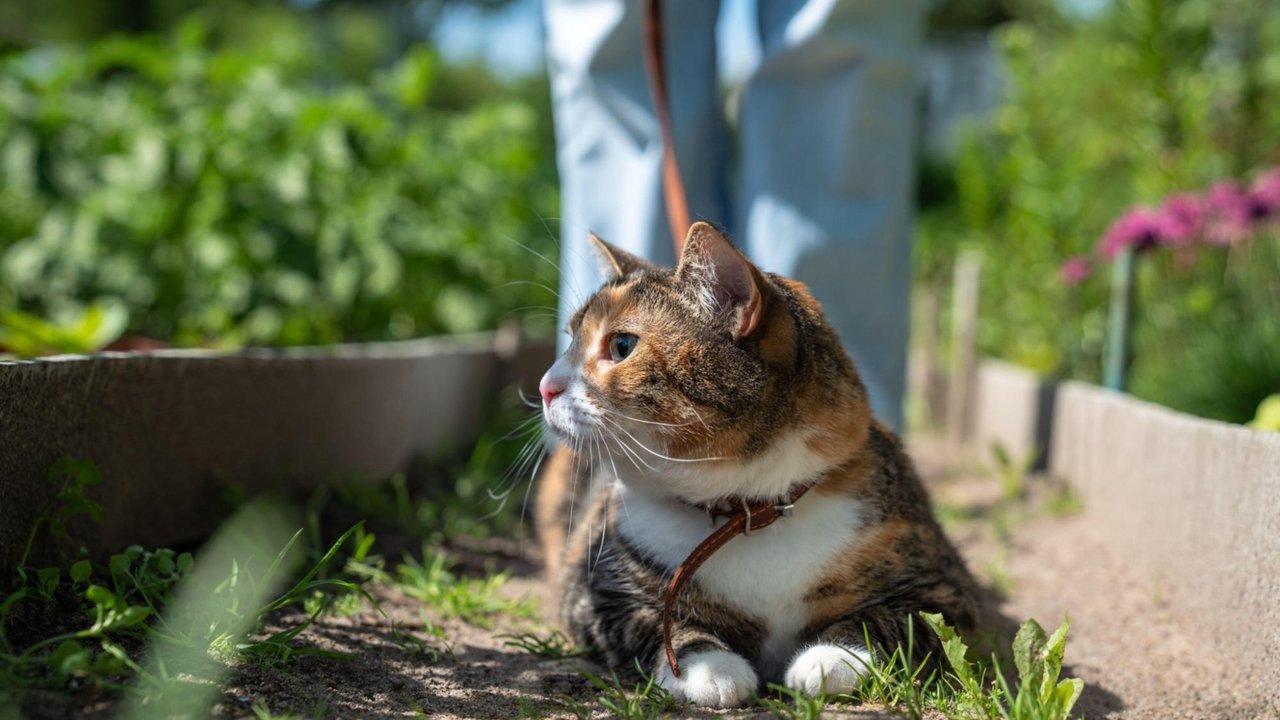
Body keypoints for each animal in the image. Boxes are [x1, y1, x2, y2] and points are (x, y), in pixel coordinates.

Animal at [535, 224, 972, 707]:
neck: (749, 510)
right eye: (570, 339)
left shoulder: (943, 589)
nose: (545, 386)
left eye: (622, 345)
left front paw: (830, 658)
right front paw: (710, 667)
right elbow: (652, 621)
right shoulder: (595, 591)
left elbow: (893, 619)